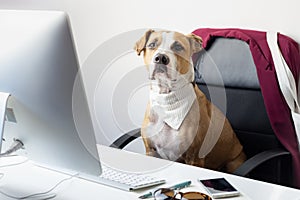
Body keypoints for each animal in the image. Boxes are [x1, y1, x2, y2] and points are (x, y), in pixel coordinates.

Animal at [134, 29, 246, 172]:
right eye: (152, 44)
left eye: (178, 47)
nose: (161, 58)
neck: (168, 102)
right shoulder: (150, 151)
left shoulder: (194, 158)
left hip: (234, 161)